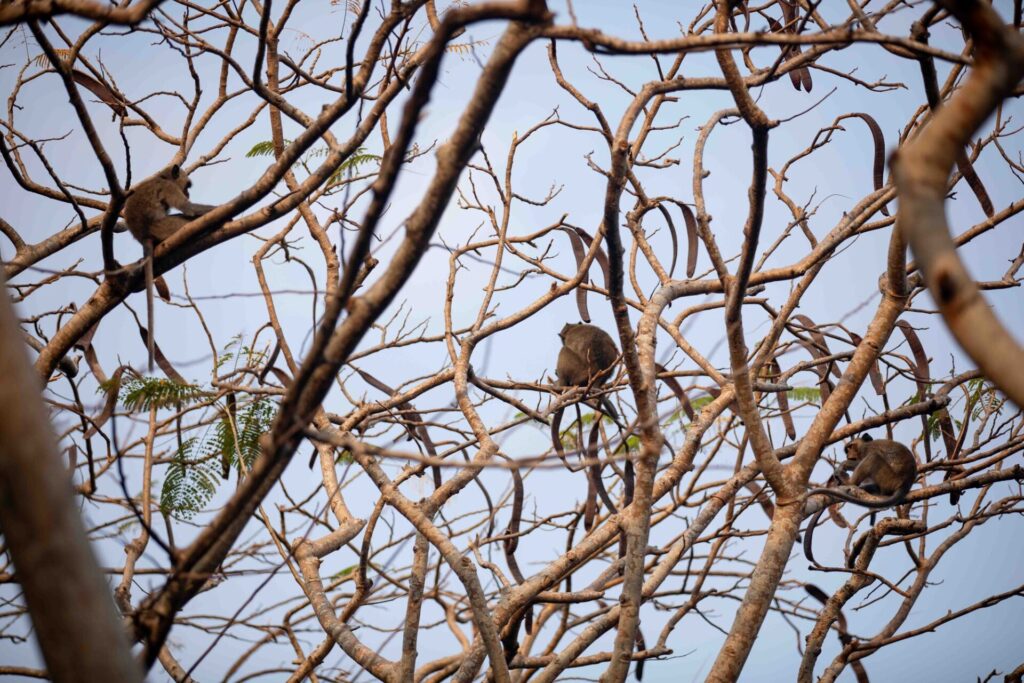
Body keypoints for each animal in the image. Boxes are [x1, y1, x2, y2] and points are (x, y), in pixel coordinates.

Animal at [123, 164, 216, 369]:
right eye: (187, 185)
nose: (188, 192)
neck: (163, 177)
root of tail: (144, 235)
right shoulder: (169, 188)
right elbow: (188, 209)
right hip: (166, 227)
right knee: (185, 219)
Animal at [803, 434, 917, 566]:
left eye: (850, 447)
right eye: (847, 450)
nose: (848, 454)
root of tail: (905, 484)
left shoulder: (867, 450)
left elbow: (862, 460)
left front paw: (843, 464)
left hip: (889, 479)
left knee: (873, 457)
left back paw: (849, 482)